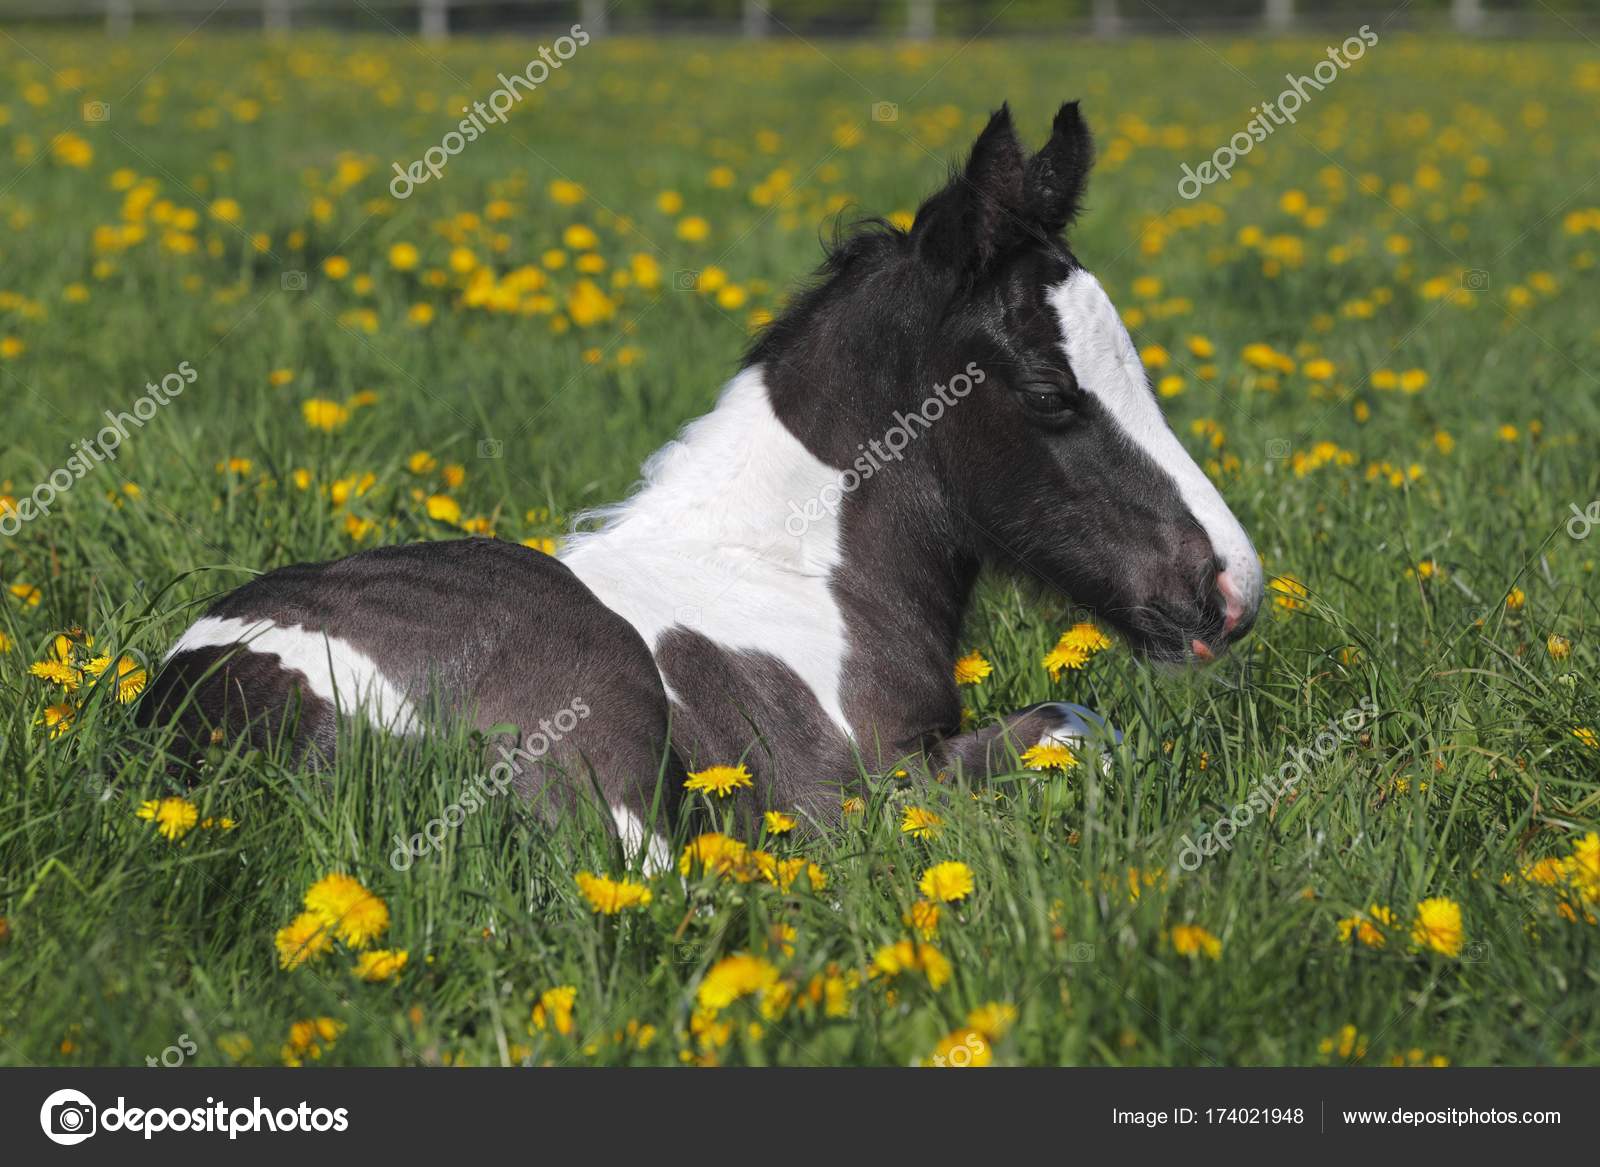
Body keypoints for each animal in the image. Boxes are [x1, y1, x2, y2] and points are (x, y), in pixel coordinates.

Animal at [137, 101, 1262, 872]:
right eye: (1047, 390)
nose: (1231, 590)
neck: (793, 571)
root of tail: (219, 705)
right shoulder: (863, 790)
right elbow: (1073, 726)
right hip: (604, 731)